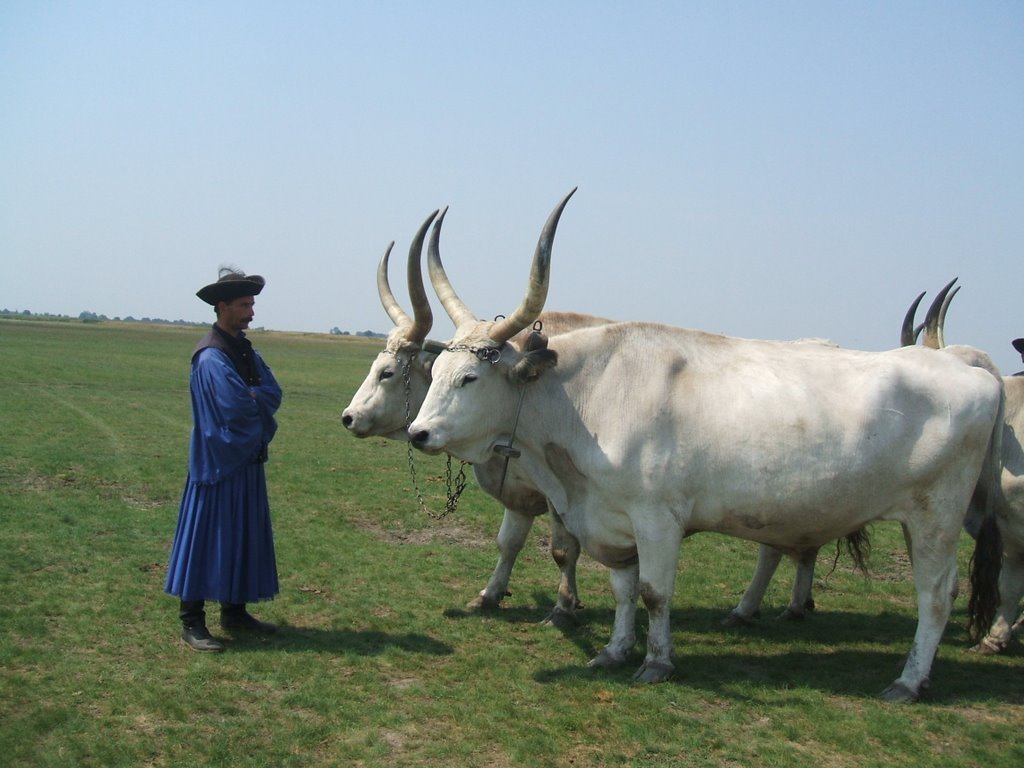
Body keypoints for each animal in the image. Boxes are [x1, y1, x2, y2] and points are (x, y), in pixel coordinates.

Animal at [408, 189, 1005, 702]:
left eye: (470, 378)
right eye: (435, 371)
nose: (418, 433)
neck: (586, 398)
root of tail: (968, 368)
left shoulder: (657, 518)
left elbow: (654, 592)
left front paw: (656, 662)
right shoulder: (611, 518)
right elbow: (623, 589)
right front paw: (614, 650)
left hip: (936, 516)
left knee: (935, 595)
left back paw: (908, 681)